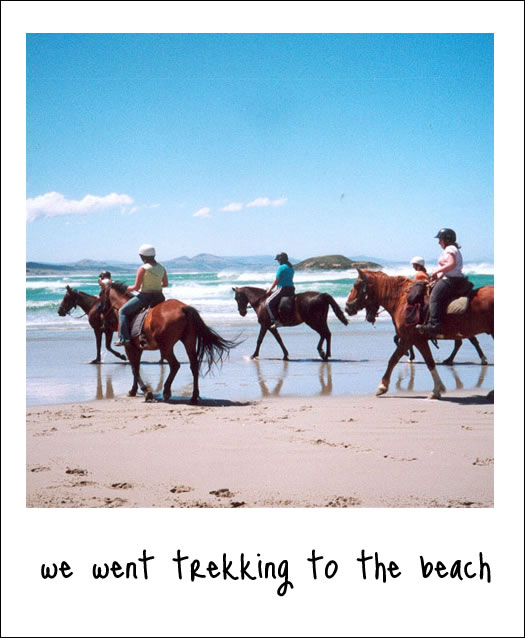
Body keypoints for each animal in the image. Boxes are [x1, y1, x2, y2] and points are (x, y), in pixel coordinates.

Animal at [100, 282, 238, 403]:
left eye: (100, 294)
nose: (101, 313)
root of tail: (183, 307)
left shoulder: (129, 347)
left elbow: (135, 369)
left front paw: (145, 392)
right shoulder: (138, 348)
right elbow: (136, 368)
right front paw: (134, 390)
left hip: (166, 347)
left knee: (175, 365)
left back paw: (166, 391)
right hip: (188, 342)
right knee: (194, 366)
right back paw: (193, 397)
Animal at [345, 269, 494, 399]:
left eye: (356, 285)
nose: (347, 307)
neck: (401, 300)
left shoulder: (410, 339)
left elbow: (393, 359)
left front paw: (382, 386)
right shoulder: (417, 340)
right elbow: (430, 362)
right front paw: (437, 390)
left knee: (468, 342)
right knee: (463, 342)